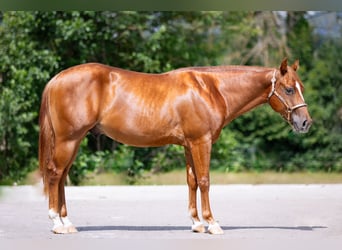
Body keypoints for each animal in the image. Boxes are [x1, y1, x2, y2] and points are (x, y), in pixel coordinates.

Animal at [38, 58, 312, 234]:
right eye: (289, 89)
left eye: (301, 87)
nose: (305, 122)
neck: (210, 89)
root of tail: (56, 79)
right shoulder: (201, 142)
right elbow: (205, 180)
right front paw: (212, 223)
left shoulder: (189, 144)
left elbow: (192, 181)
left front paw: (196, 223)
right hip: (68, 139)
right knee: (54, 174)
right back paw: (56, 223)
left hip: (74, 141)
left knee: (61, 177)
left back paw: (67, 222)